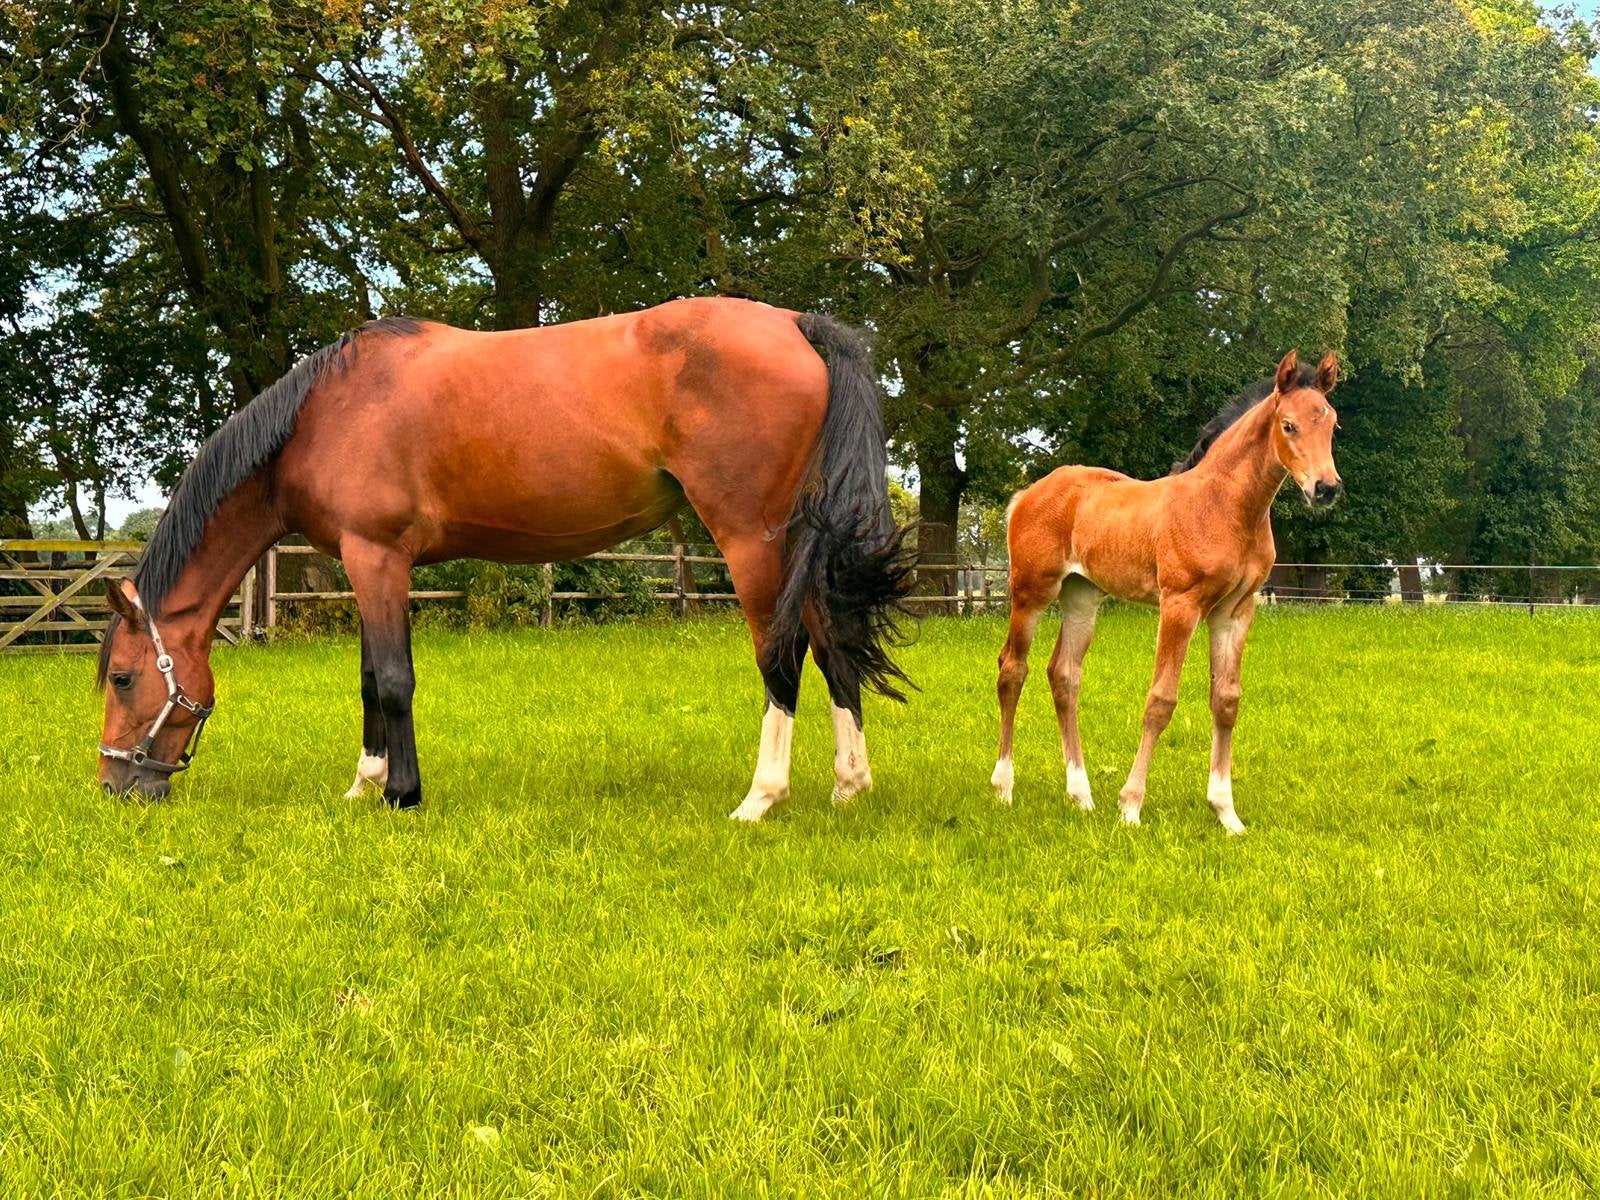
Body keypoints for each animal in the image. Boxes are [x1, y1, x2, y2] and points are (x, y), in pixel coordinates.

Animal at [95, 297, 913, 821]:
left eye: (124, 677)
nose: (113, 786)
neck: (325, 414)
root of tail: (796, 325)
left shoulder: (377, 558)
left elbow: (394, 680)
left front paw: (402, 795)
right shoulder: (366, 566)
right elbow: (368, 680)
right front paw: (364, 785)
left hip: (751, 538)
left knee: (783, 654)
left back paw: (761, 799)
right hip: (798, 540)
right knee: (834, 644)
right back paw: (849, 785)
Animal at [990, 350, 1341, 834]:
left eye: (1332, 424)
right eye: (1288, 425)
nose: (1326, 489)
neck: (1225, 508)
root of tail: (1028, 493)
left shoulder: (1235, 611)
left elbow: (1226, 701)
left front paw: (1227, 813)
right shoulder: (1180, 604)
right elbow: (1161, 700)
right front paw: (1131, 807)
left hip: (1081, 597)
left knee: (1064, 676)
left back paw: (1081, 795)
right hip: (1031, 592)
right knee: (1012, 669)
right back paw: (1004, 788)